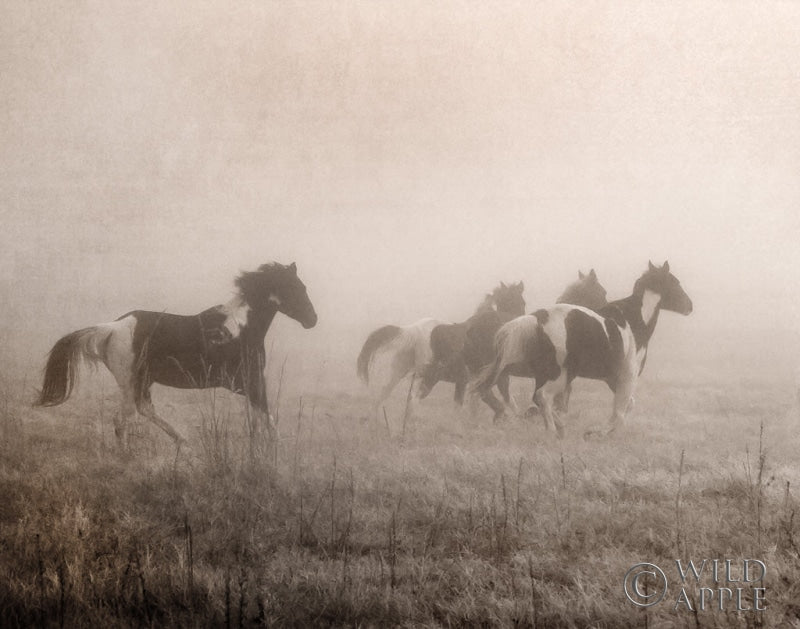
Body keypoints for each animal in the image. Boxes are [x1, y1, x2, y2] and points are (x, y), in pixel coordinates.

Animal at [36, 262, 317, 449]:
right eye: (297, 288)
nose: (312, 320)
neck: (240, 328)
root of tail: (111, 328)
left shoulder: (248, 384)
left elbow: (258, 418)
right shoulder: (251, 381)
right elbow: (267, 416)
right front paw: (274, 450)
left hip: (142, 382)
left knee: (142, 410)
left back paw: (181, 440)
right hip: (130, 382)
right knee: (125, 417)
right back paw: (130, 453)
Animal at [356, 282, 524, 420]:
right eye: (522, 301)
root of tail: (413, 330)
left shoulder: (467, 381)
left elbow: (472, 405)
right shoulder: (496, 379)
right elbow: (505, 402)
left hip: (398, 373)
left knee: (381, 397)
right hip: (430, 377)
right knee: (412, 401)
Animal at [470, 261, 692, 436]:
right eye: (676, 283)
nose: (689, 306)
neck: (634, 322)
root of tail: (536, 318)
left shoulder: (613, 378)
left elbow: (627, 405)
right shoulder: (628, 375)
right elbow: (620, 410)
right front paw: (601, 432)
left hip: (546, 373)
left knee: (533, 398)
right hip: (557, 374)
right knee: (541, 397)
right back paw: (552, 430)